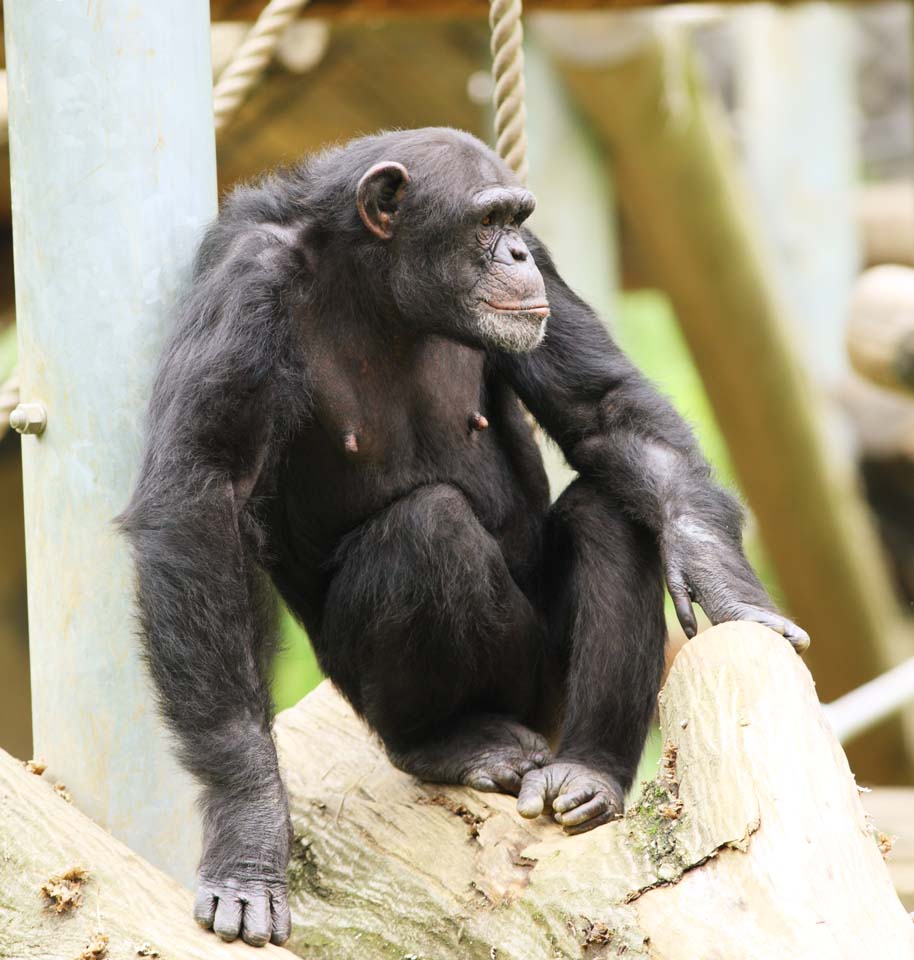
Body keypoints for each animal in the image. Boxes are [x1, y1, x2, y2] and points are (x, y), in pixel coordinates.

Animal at [119, 127, 804, 944]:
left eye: (518, 220)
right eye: (485, 222)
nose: (514, 254)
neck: (378, 290)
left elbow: (606, 410)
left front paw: (719, 574)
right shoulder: (244, 283)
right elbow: (200, 498)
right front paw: (249, 824)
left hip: (548, 694)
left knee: (608, 511)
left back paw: (590, 770)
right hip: (378, 692)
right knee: (429, 528)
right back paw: (451, 741)